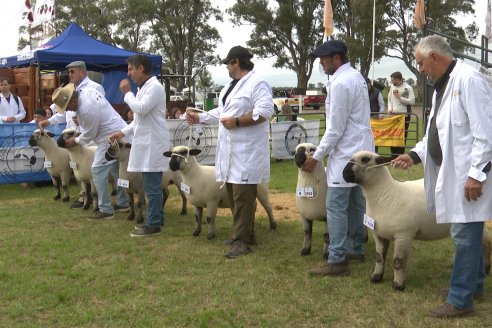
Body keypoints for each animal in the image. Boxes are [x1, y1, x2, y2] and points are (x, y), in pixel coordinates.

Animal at [342, 150, 492, 290]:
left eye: (365, 159)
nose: (344, 174)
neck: (385, 194)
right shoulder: (378, 234)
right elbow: (379, 257)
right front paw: (376, 277)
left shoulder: (404, 235)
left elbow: (398, 262)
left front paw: (398, 285)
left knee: (485, 245)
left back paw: (485, 269)